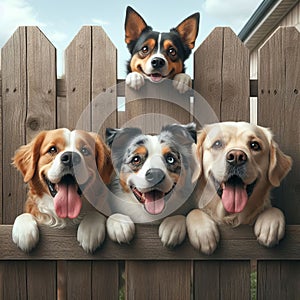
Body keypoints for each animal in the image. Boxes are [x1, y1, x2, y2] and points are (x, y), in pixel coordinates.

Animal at [186, 122, 292, 255]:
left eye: (254, 145)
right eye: (217, 144)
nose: (236, 157)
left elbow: (274, 209)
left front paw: (270, 222)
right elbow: (193, 211)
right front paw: (203, 231)